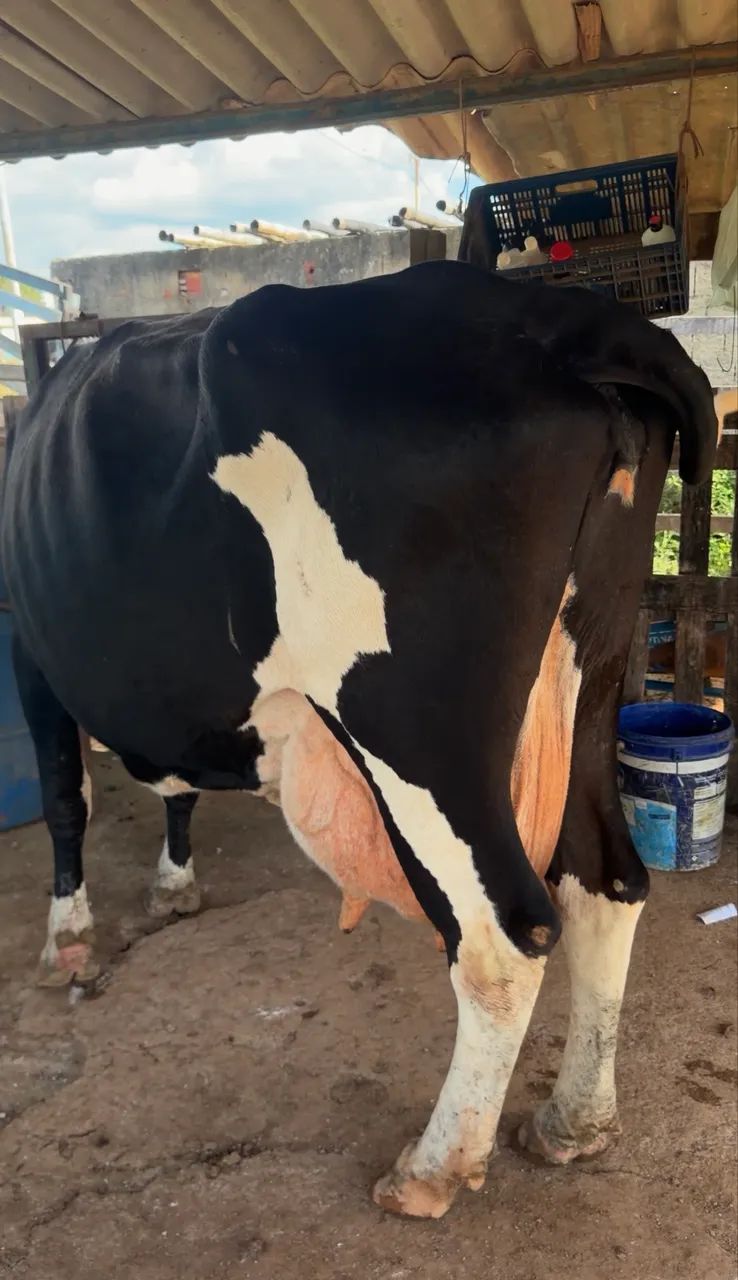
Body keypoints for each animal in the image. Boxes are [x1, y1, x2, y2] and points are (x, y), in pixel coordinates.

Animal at [0, 261, 717, 1219]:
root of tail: (560, 317)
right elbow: (174, 791)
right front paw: (172, 885)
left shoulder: (28, 647)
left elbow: (64, 798)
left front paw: (67, 941)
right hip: (592, 674)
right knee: (607, 884)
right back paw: (574, 1121)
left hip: (412, 729)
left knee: (502, 938)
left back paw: (432, 1169)